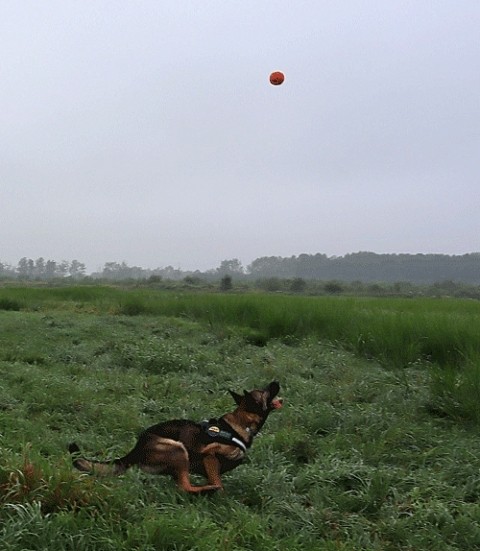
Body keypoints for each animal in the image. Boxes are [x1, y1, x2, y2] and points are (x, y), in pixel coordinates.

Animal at [69, 382, 284, 494]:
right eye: (265, 391)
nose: (276, 382)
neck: (240, 424)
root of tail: (135, 450)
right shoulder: (209, 455)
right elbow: (218, 482)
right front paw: (216, 491)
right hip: (178, 449)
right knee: (185, 487)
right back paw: (205, 489)